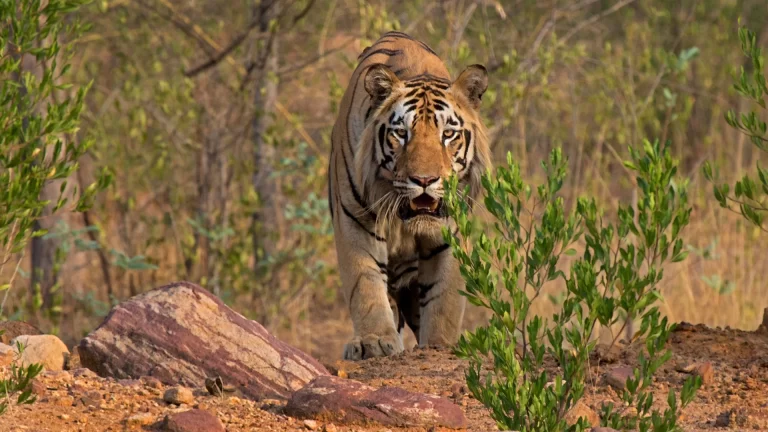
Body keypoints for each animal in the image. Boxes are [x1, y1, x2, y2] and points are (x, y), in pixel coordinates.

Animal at [326, 32, 492, 360]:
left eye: (448, 134)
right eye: (401, 134)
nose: (425, 180)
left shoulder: (450, 233)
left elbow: (444, 298)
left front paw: (441, 345)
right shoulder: (355, 219)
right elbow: (365, 283)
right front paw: (374, 341)